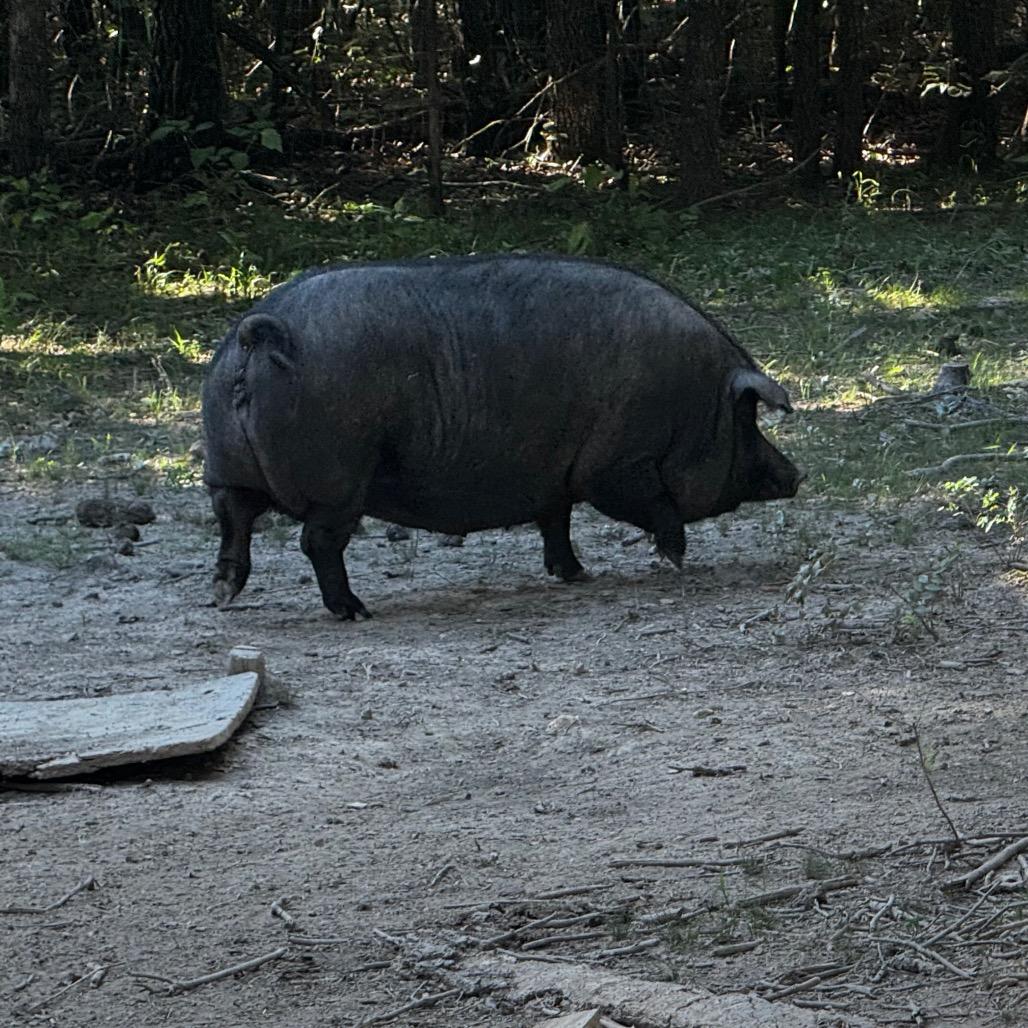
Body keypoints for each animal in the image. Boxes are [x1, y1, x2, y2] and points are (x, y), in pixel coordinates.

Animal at [202, 255, 801, 619]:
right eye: (747, 421)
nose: (796, 474)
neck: (694, 403)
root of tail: (263, 332)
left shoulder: (555, 476)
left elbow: (556, 521)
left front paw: (576, 575)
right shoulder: (615, 465)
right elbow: (655, 508)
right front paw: (675, 561)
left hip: (225, 466)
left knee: (233, 521)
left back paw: (223, 594)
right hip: (340, 478)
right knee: (316, 542)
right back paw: (354, 610)